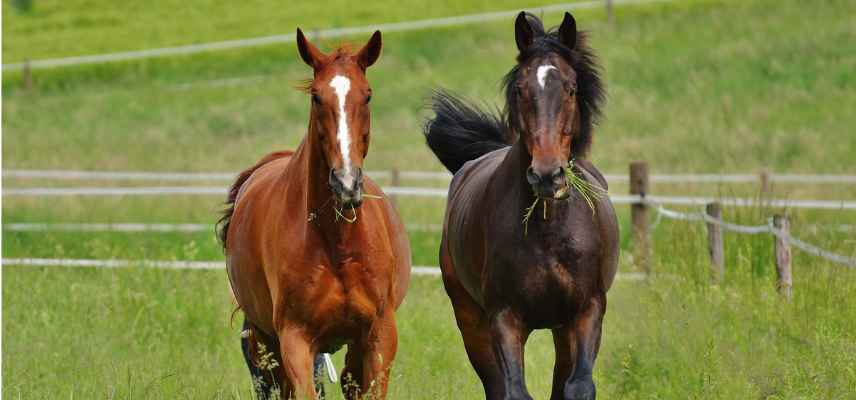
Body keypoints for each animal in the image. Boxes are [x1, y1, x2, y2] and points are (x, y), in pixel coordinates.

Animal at [219, 28, 410, 400]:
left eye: (367, 95)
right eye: (317, 98)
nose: (346, 182)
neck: (337, 244)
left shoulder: (379, 335)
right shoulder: (295, 339)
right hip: (266, 342)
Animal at [424, 11, 620, 400]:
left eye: (571, 88)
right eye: (519, 89)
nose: (547, 175)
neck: (549, 234)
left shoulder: (587, 310)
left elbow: (578, 386)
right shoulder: (504, 317)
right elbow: (514, 389)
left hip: (560, 328)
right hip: (471, 320)